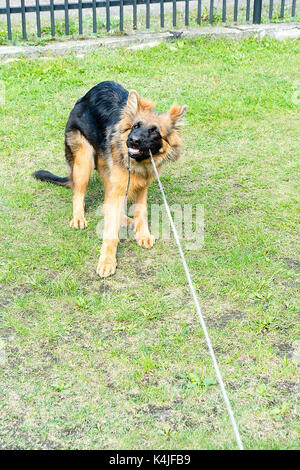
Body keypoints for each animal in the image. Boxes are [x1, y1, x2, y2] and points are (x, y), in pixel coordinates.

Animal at [34, 81, 186, 278]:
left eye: (154, 131)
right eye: (135, 126)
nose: (132, 141)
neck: (138, 164)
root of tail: (84, 97)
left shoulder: (141, 187)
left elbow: (141, 212)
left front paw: (142, 233)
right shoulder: (118, 187)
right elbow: (110, 232)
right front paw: (107, 261)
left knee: (107, 206)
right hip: (84, 161)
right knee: (78, 195)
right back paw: (79, 217)